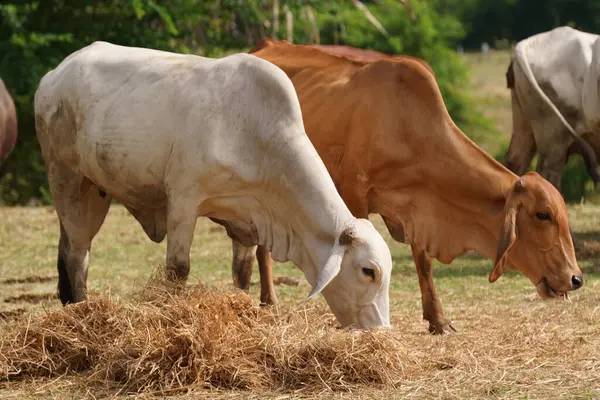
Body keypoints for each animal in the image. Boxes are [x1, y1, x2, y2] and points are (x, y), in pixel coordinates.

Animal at [34, 40, 394, 330]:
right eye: (368, 271)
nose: (380, 331)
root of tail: (55, 74)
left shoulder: (247, 222)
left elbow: (243, 273)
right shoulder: (183, 200)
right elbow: (178, 269)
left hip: (95, 192)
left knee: (69, 246)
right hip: (68, 179)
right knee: (78, 255)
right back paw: (82, 311)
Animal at [231, 39, 584, 334]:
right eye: (543, 215)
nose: (576, 278)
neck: (407, 128)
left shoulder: (416, 209)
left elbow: (423, 261)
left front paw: (438, 320)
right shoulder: (353, 196)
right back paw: (268, 300)